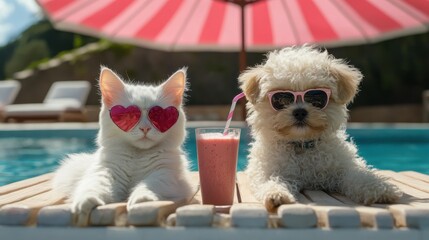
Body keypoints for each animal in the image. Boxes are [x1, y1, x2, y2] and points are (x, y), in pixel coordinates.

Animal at [51, 66, 195, 216]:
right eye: (130, 115)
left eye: (158, 116)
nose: (145, 128)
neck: (138, 156)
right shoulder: (106, 172)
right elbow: (94, 186)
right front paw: (85, 202)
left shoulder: (166, 175)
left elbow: (149, 185)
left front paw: (142, 199)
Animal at [237, 46, 402, 213]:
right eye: (281, 99)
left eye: (316, 97)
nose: (300, 111)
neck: (302, 145)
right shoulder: (267, 171)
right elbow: (271, 181)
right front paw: (276, 194)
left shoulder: (344, 167)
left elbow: (358, 175)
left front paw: (377, 188)